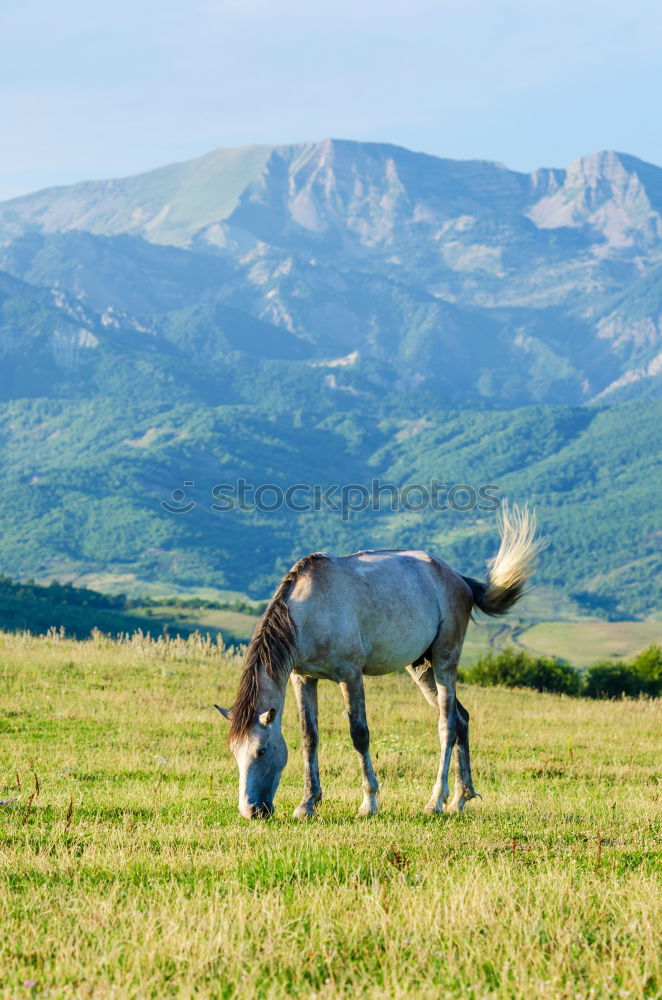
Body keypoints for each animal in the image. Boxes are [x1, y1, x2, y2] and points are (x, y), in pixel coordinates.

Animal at [218, 504, 544, 816]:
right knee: (461, 718)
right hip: (421, 668)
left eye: (261, 751)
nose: (251, 811)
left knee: (448, 725)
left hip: (444, 661)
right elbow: (309, 737)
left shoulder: (350, 676)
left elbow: (359, 734)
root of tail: (459, 580)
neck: (308, 611)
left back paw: (435, 802)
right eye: (234, 752)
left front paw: (369, 803)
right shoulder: (304, 678)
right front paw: (307, 803)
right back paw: (459, 800)